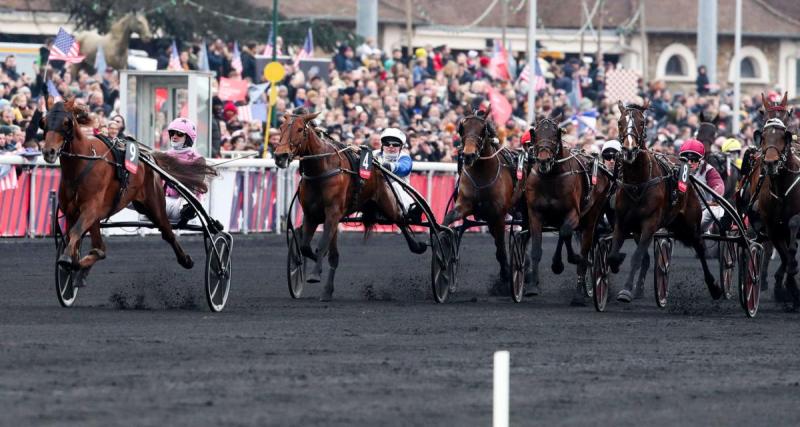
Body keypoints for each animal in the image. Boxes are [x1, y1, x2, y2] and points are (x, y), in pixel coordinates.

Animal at [42, 99, 217, 290]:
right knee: (100, 248)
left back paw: (192, 261)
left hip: (154, 204)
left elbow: (75, 234)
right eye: (44, 122)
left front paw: (67, 259)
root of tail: (149, 157)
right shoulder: (73, 212)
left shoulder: (90, 209)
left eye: (67, 122)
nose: (48, 151)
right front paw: (74, 265)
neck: (84, 163)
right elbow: (74, 238)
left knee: (168, 233)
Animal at [274, 112, 428, 302]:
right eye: (281, 128)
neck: (321, 170)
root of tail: (378, 168)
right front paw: (308, 263)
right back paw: (327, 290)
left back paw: (418, 245)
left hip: (387, 203)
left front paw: (315, 273)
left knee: (401, 220)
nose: (280, 156)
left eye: (300, 129)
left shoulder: (332, 213)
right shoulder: (312, 214)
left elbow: (323, 245)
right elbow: (306, 247)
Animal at [440, 108, 520, 292]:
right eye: (462, 128)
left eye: (483, 129)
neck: (482, 175)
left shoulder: (498, 215)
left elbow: (501, 248)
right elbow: (449, 218)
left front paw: (506, 276)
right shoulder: (465, 206)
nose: (468, 155)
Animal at [524, 115, 612, 306]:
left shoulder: (573, 213)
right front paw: (532, 287)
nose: (543, 160)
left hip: (592, 216)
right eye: (535, 133)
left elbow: (566, 233)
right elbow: (536, 249)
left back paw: (578, 293)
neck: (551, 176)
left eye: (556, 133)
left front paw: (572, 259)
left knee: (583, 250)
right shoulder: (535, 214)